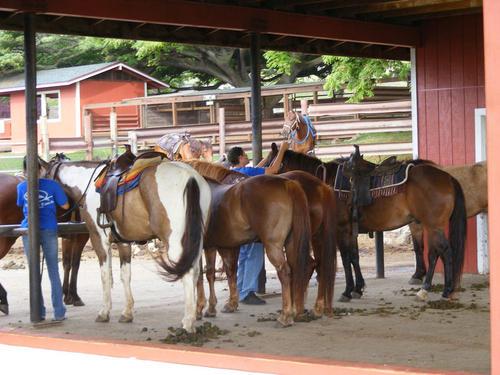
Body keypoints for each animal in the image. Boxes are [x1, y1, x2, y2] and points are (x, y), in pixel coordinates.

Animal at [40, 155, 210, 332]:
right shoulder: (123, 242)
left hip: (176, 243)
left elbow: (105, 276)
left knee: (188, 273)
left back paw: (187, 322)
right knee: (196, 272)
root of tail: (191, 177)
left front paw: (104, 312)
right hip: (195, 240)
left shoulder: (98, 238)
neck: (88, 184)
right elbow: (125, 275)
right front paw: (127, 313)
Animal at [186, 160, 338, 318]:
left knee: (294, 269)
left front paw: (201, 308)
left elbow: (203, 275)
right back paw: (308, 307)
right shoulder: (222, 245)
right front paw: (225, 304)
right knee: (314, 266)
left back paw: (290, 311)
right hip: (305, 240)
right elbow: (223, 272)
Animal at [264, 144, 466, 302]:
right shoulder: (350, 231)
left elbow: (346, 258)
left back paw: (434, 290)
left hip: (433, 225)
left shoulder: (341, 229)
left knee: (442, 252)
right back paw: (440, 289)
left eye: (269, 163)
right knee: (438, 252)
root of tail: (447, 177)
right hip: (431, 225)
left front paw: (347, 291)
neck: (326, 184)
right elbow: (354, 257)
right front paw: (358, 288)